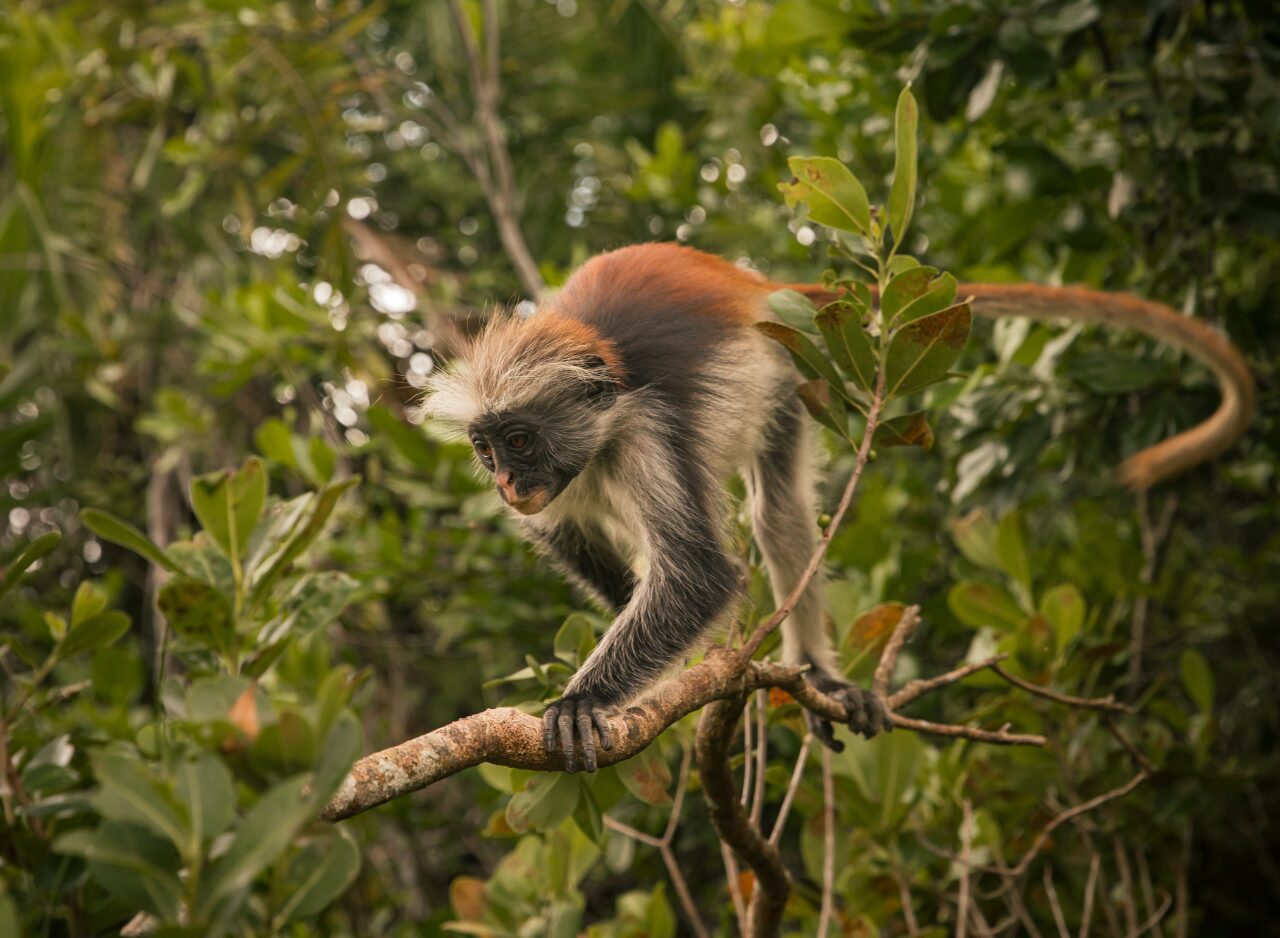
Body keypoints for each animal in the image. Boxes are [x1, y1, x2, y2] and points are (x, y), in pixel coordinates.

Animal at [424, 242, 1254, 772]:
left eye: (522, 440)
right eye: (487, 450)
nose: (507, 484)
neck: (594, 438)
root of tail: (754, 287)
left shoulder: (644, 431)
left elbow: (700, 574)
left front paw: (586, 697)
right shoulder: (564, 490)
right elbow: (563, 537)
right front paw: (656, 637)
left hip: (787, 372)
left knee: (777, 509)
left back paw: (815, 672)